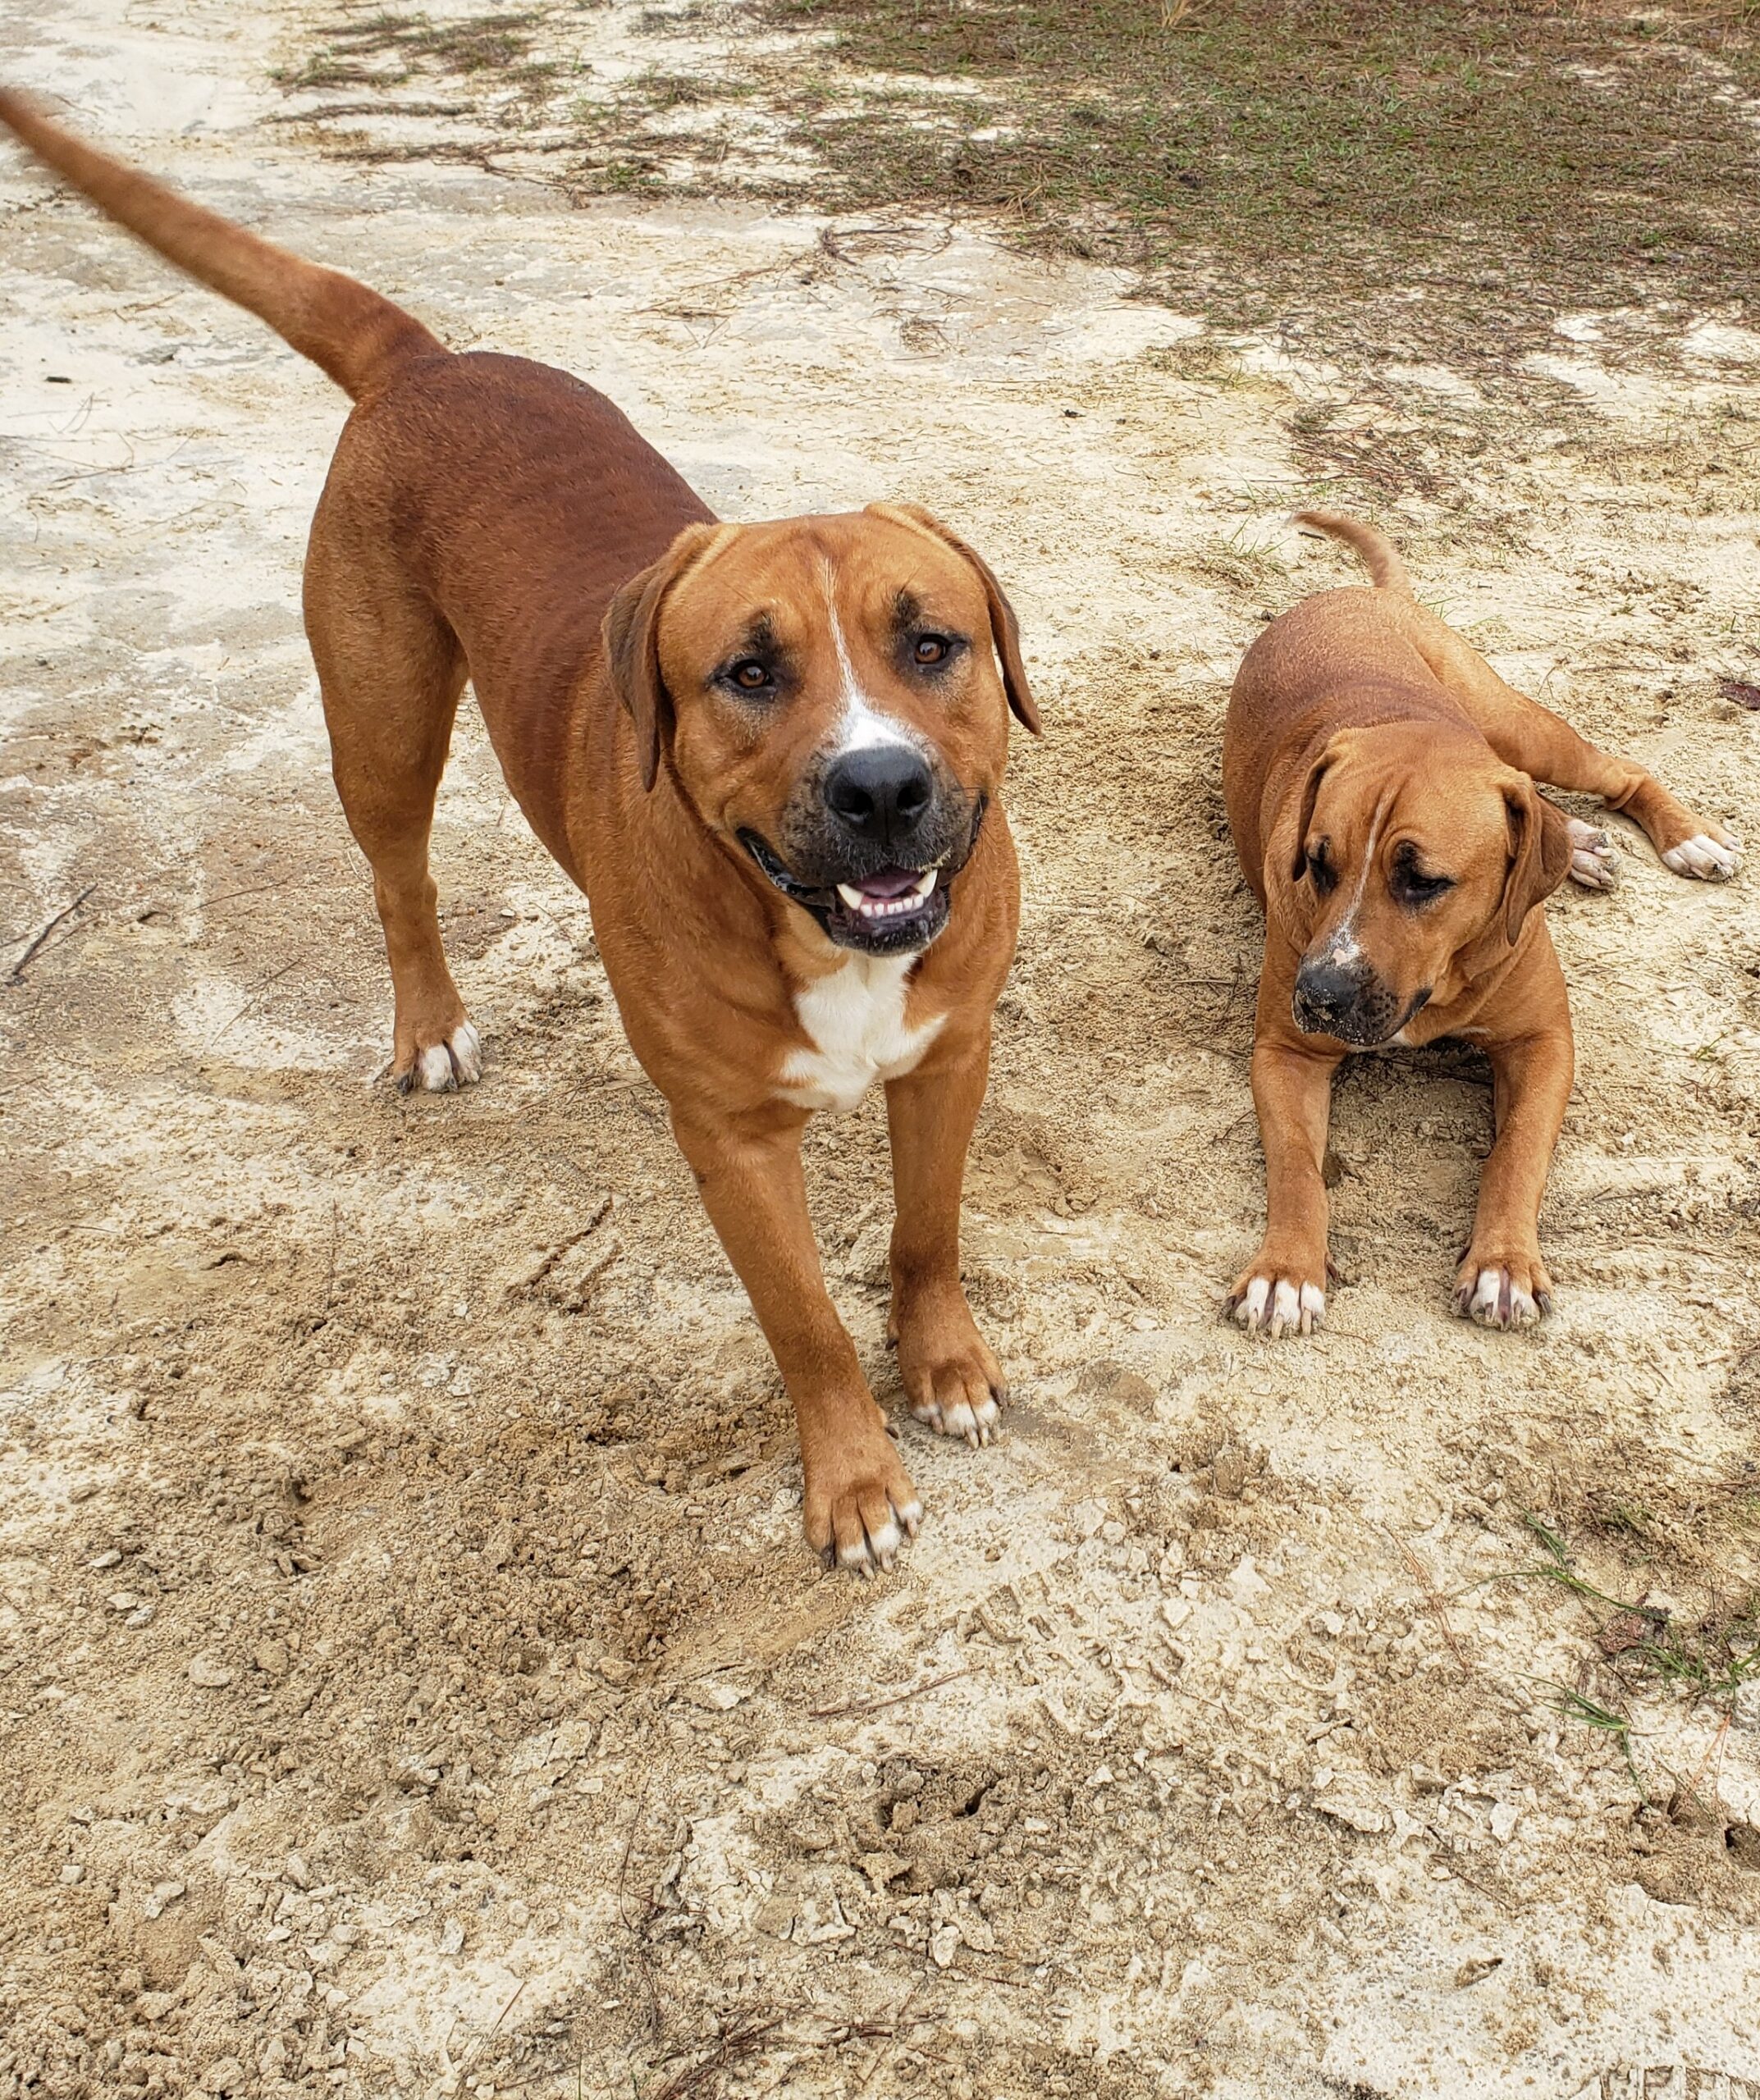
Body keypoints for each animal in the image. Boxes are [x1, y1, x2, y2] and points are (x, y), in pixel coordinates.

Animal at [3, 98, 1045, 1579]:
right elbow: (805, 1325)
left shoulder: (950, 1058)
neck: (820, 937)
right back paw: (429, 1026)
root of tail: (428, 364)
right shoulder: (732, 1142)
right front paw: (852, 1479)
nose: (884, 788)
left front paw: (946, 1365)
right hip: (381, 731)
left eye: (933, 645)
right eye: (748, 673)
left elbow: (928, 1234)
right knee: (400, 882)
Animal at [1226, 510, 1739, 1335]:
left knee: (1609, 772)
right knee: (1541, 801)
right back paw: (1577, 846)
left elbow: (1516, 1151)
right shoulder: (1286, 1052)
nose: (1319, 996)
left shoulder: (1542, 1043)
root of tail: (1360, 595)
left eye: (1423, 882)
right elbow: (1297, 1170)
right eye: (1316, 864)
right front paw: (1285, 1272)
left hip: (1519, 725)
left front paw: (1502, 1262)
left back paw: (1681, 838)